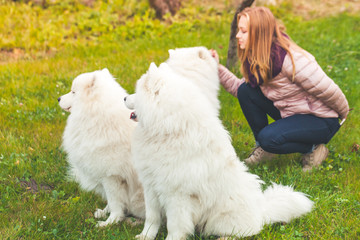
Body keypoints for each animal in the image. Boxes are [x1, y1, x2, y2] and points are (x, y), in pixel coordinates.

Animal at [58, 68, 144, 227]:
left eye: (73, 92)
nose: (59, 98)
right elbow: (112, 202)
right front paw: (104, 213)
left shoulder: (112, 177)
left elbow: (115, 203)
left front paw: (110, 222)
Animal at [124, 47, 312, 240]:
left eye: (136, 92)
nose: (124, 98)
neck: (167, 128)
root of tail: (261, 211)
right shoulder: (151, 185)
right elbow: (152, 218)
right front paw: (145, 236)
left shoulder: (177, 195)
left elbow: (175, 227)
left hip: (223, 216)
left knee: (245, 231)